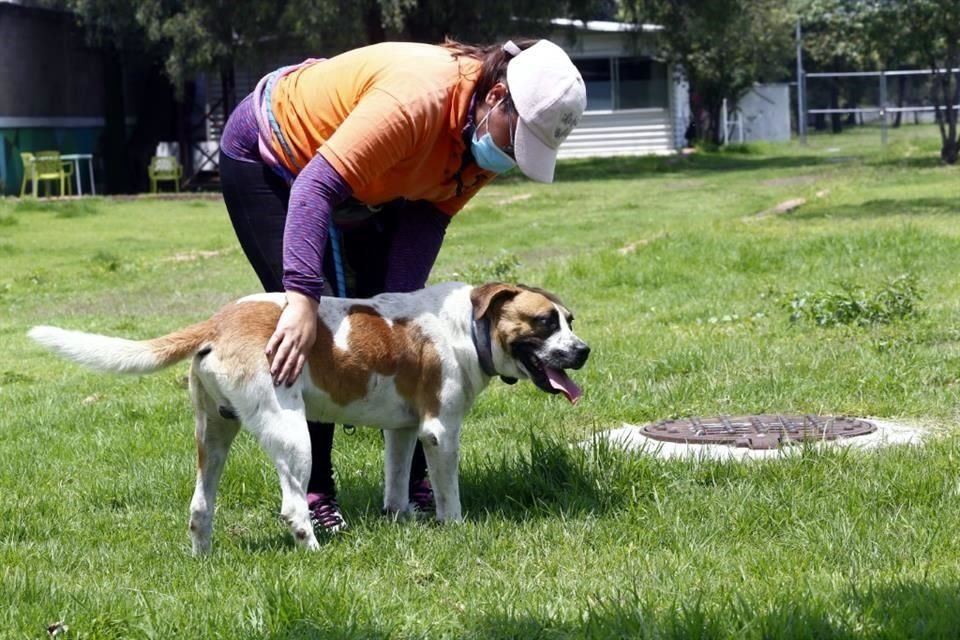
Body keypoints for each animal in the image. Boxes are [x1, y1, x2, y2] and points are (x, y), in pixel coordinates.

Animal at [28, 282, 584, 552]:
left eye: (570, 320)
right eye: (543, 322)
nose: (584, 350)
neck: (467, 326)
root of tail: (218, 321)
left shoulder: (402, 431)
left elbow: (396, 489)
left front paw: (403, 521)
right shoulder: (439, 432)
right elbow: (450, 497)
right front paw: (456, 530)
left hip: (215, 435)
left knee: (200, 506)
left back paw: (203, 559)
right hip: (294, 437)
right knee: (293, 508)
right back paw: (316, 553)